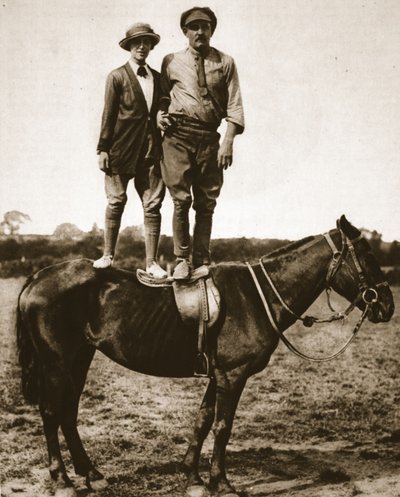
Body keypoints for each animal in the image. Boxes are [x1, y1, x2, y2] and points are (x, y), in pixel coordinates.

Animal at [16, 216, 394, 496]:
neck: (256, 297)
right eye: (367, 256)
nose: (387, 306)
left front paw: (193, 477)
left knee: (68, 413)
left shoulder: (218, 374)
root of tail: (39, 276)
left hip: (79, 359)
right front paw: (221, 483)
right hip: (57, 363)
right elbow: (223, 427)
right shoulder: (233, 375)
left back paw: (91, 473)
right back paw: (62, 480)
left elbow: (202, 421)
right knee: (52, 413)